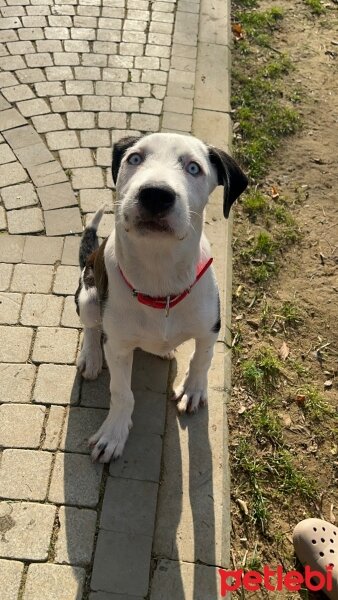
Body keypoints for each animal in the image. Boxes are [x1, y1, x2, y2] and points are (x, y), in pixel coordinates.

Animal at [75, 134, 247, 464]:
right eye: (135, 158)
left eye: (194, 168)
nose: (155, 195)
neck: (160, 274)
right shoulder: (117, 346)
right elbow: (121, 392)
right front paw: (113, 433)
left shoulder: (211, 328)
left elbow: (202, 360)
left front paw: (193, 390)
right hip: (88, 295)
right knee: (91, 327)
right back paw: (91, 357)